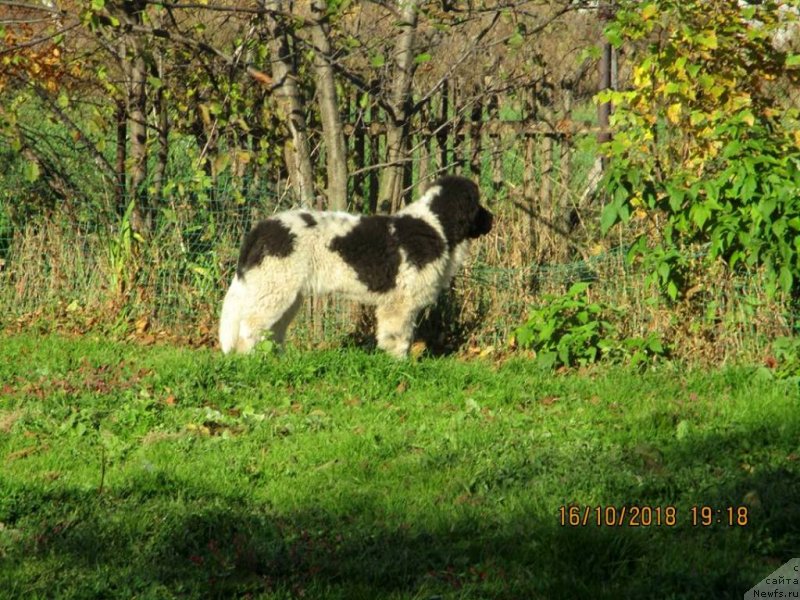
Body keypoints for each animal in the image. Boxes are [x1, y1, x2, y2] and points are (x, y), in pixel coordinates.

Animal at [220, 176, 494, 358]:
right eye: (477, 205)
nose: (491, 219)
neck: (436, 225)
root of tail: (260, 229)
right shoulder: (401, 304)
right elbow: (399, 337)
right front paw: (400, 366)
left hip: (286, 295)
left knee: (273, 330)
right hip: (274, 290)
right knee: (249, 328)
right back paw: (251, 361)